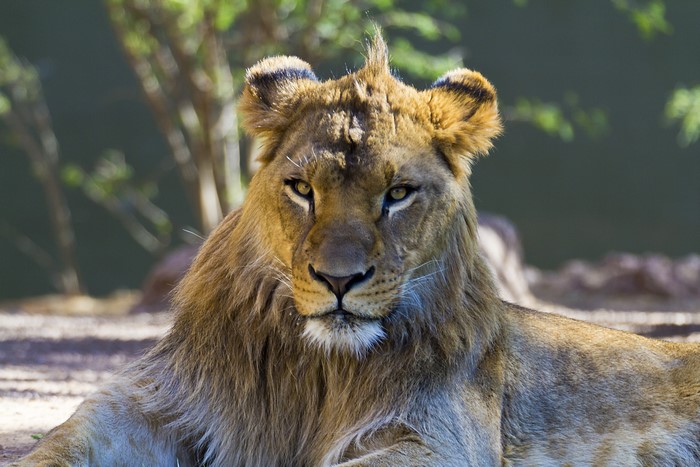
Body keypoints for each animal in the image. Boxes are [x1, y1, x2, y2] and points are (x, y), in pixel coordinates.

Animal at [16, 35, 700, 466]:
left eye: (397, 194)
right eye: (301, 189)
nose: (338, 279)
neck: (317, 367)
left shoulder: (441, 440)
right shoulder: (149, 406)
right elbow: (58, 444)